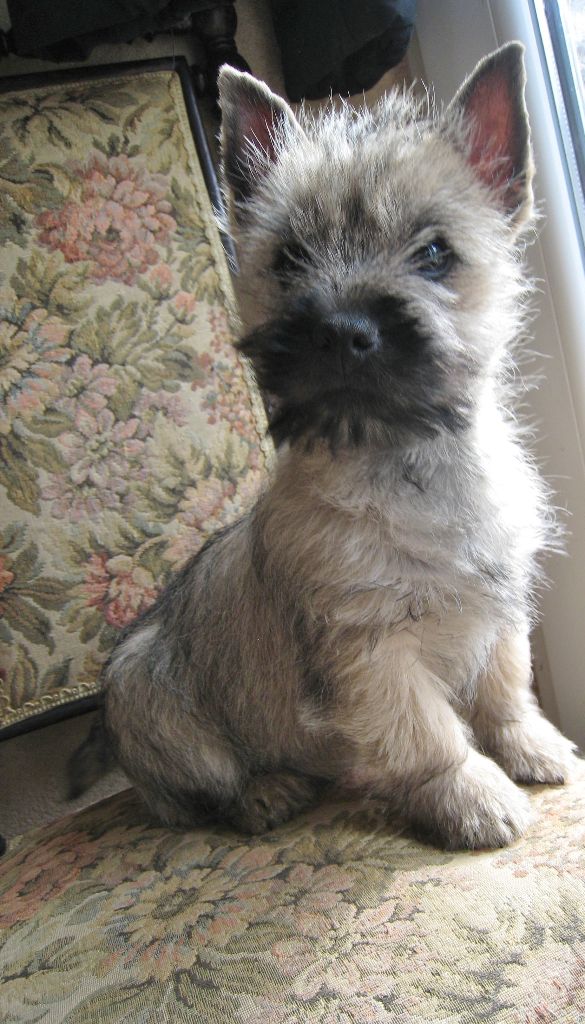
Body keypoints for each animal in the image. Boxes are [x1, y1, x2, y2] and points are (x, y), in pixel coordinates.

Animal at [70, 43, 577, 849]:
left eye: (434, 252)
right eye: (288, 259)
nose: (341, 329)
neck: (406, 461)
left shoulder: (499, 609)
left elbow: (505, 688)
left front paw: (530, 747)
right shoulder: (370, 648)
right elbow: (427, 732)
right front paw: (469, 796)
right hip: (149, 695)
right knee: (191, 793)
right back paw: (263, 793)